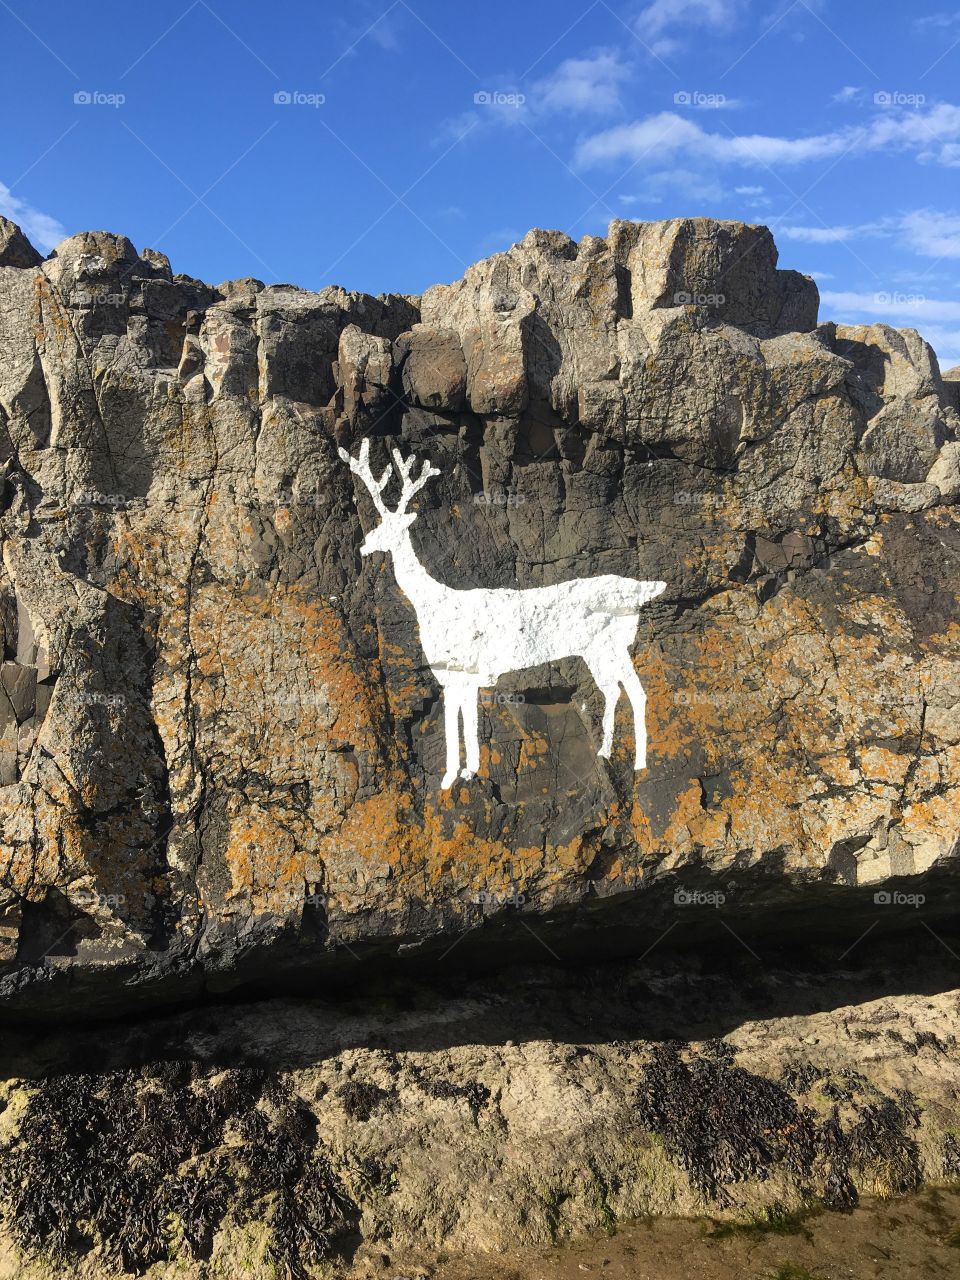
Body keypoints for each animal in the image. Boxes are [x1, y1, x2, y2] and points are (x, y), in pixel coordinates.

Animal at [339, 438, 667, 791]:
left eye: (388, 526)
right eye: (376, 524)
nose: (363, 547)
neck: (433, 605)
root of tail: (642, 589)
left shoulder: (465, 670)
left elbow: (463, 723)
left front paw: (458, 774)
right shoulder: (453, 676)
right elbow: (460, 722)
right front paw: (461, 773)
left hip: (611, 645)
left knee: (635, 692)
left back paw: (639, 762)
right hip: (599, 650)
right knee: (614, 690)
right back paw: (607, 751)